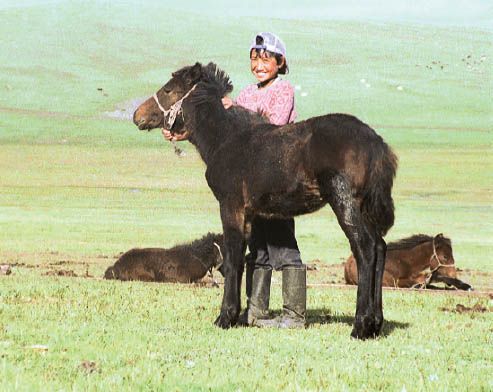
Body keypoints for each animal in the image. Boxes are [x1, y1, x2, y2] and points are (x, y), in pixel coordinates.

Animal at [133, 62, 398, 338]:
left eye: (168, 89)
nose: (137, 115)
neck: (224, 140)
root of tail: (377, 143)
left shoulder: (230, 206)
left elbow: (232, 259)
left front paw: (225, 317)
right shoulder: (252, 214)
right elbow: (247, 260)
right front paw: (241, 316)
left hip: (345, 202)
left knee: (365, 248)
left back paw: (361, 325)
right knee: (380, 247)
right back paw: (376, 323)